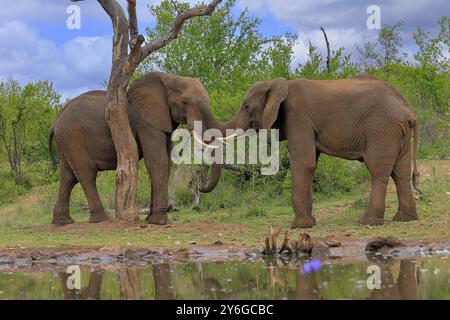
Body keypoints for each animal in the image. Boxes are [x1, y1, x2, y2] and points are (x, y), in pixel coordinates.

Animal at [48, 72, 229, 226]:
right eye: (184, 102)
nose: (196, 185)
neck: (170, 79)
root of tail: (55, 121)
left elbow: (165, 162)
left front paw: (150, 219)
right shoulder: (145, 121)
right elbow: (158, 161)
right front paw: (159, 222)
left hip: (67, 140)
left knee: (68, 176)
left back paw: (63, 222)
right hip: (73, 137)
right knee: (86, 174)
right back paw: (102, 220)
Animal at [230, 76, 420, 229]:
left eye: (246, 106)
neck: (277, 84)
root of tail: (409, 111)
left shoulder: (297, 117)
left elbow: (303, 163)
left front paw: (299, 226)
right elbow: (311, 165)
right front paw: (310, 223)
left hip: (382, 130)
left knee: (378, 171)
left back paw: (367, 222)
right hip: (398, 133)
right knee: (400, 172)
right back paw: (404, 219)